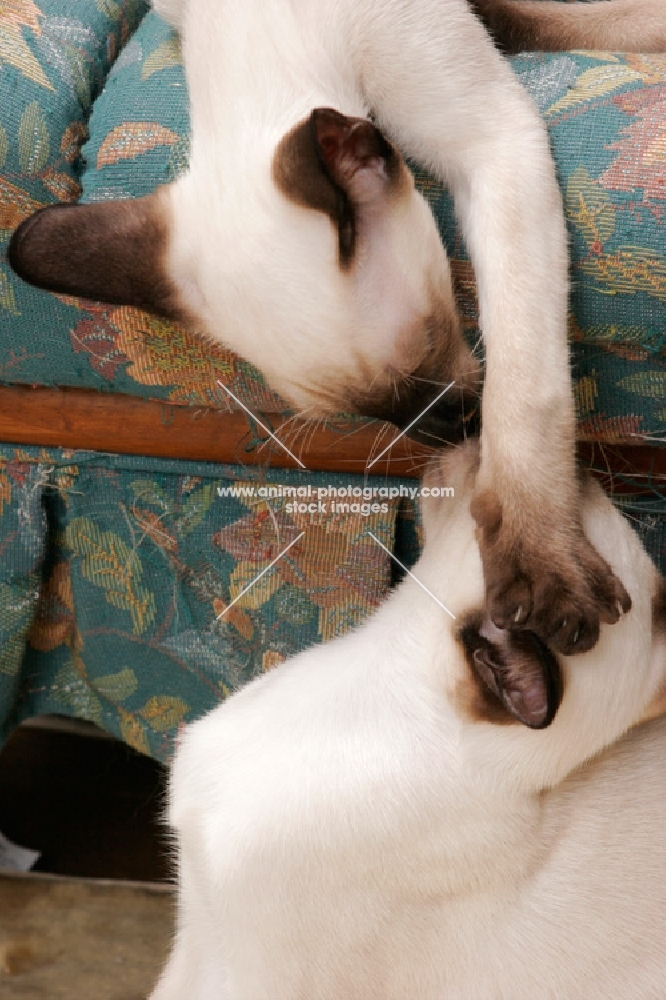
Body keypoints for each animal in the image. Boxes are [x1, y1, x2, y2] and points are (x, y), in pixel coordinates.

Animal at [7, 0, 660, 652]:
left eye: (432, 342)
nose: (457, 429)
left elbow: (523, 388)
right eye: (369, 415)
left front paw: (540, 554)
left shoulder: (493, 141)